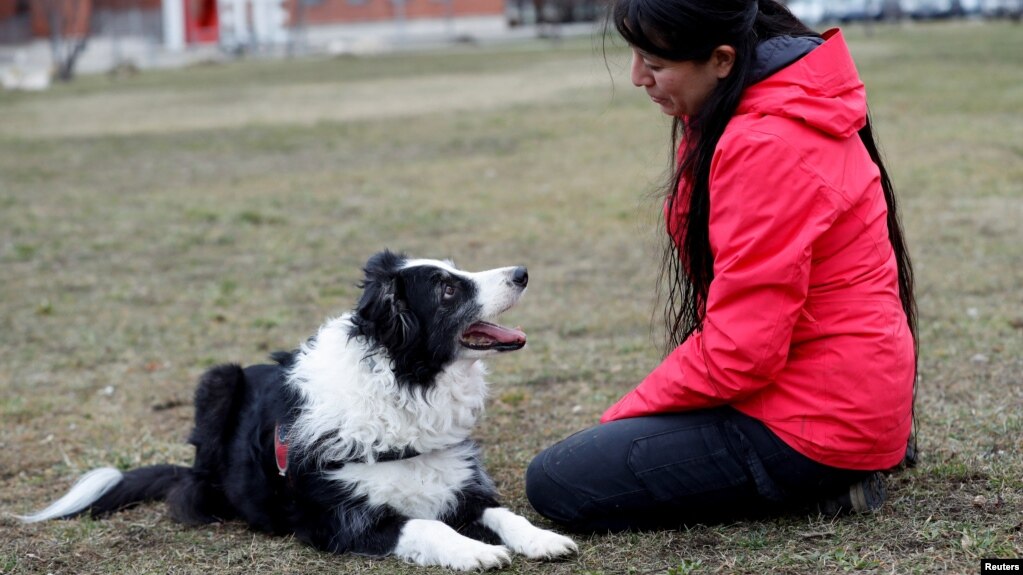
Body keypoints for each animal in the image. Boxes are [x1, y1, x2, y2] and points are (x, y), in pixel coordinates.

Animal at [18, 249, 576, 568]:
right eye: (447, 288)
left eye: (458, 271)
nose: (522, 273)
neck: (404, 386)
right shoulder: (337, 520)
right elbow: (425, 525)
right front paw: (476, 551)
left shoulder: (458, 484)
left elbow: (504, 514)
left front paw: (543, 539)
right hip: (217, 379)